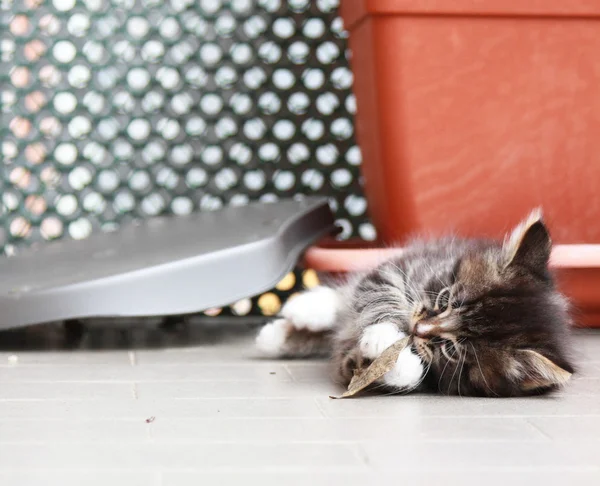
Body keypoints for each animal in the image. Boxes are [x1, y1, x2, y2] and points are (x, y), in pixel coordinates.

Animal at [255, 211, 576, 396]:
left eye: (451, 350)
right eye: (445, 299)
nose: (417, 328)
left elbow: (388, 373)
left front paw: (392, 356)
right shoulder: (399, 268)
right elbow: (379, 296)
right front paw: (385, 334)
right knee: (347, 297)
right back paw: (302, 313)